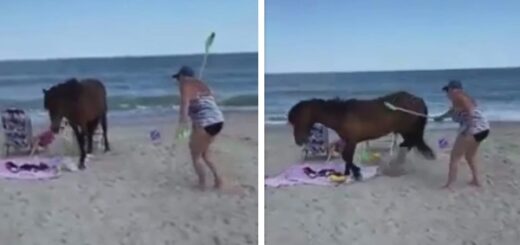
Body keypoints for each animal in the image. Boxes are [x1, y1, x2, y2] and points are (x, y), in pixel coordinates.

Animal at [288, 91, 434, 179]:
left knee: (409, 143)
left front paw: (357, 173)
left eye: (299, 119)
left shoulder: (352, 140)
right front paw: (347, 173)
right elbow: (346, 157)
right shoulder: (346, 140)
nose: (298, 141)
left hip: (407, 130)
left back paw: (395, 165)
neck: (342, 115)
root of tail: (418, 99)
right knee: (408, 144)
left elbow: (347, 157)